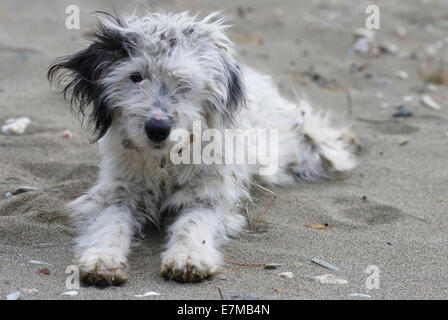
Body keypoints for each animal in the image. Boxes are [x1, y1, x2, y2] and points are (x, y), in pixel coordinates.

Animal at [48, 11, 356, 284]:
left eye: (184, 82)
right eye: (136, 77)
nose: (157, 129)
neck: (165, 161)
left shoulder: (208, 195)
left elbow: (192, 224)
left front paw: (188, 257)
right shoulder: (119, 191)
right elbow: (109, 223)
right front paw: (102, 258)